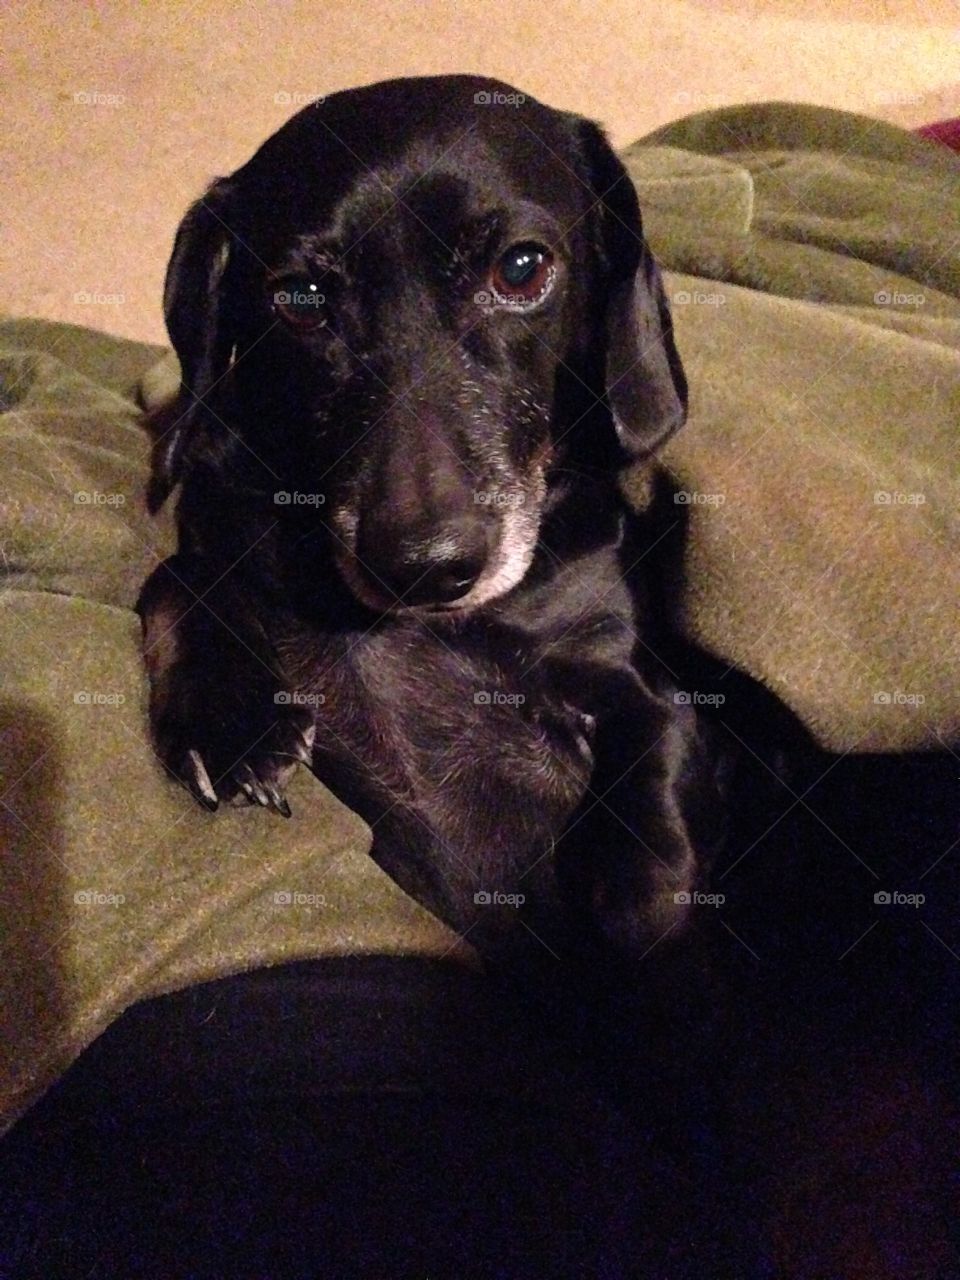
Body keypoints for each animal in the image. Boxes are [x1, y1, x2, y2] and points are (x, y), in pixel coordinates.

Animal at [135, 72, 727, 967]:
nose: (426, 568)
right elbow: (181, 579)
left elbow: (654, 724)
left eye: (522, 268)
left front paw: (634, 880)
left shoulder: (616, 669)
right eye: (300, 299)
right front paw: (227, 711)